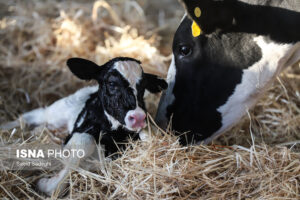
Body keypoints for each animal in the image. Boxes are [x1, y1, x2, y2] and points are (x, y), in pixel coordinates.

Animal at [1, 57, 168, 196]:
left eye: (143, 86)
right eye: (111, 83)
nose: (138, 117)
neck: (114, 138)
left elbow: (148, 135)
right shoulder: (79, 133)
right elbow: (83, 145)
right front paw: (43, 184)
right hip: (57, 111)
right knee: (29, 116)